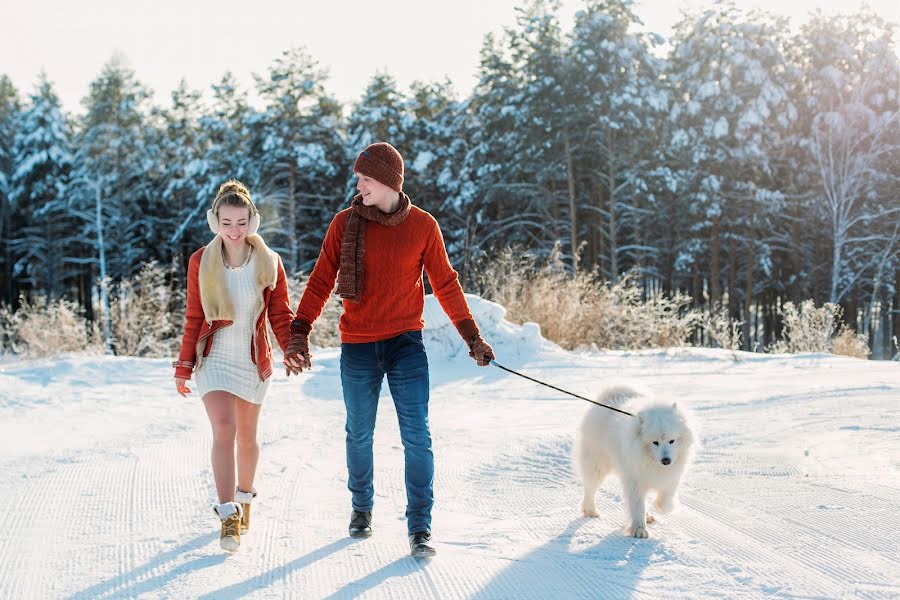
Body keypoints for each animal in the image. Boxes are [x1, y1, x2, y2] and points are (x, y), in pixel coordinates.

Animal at [576, 384, 696, 540]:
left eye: (672, 441)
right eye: (655, 442)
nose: (666, 461)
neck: (652, 461)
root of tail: (607, 397)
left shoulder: (672, 476)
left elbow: (666, 497)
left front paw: (661, 508)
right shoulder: (635, 481)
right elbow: (638, 506)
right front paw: (639, 529)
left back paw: (649, 516)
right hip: (597, 466)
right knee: (590, 489)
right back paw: (590, 511)